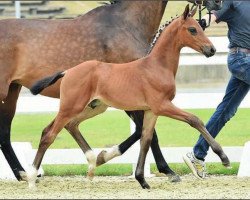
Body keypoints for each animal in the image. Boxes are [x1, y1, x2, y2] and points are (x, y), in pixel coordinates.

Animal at [29, 5, 230, 189]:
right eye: (192, 29)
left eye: (200, 26)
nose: (211, 50)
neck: (156, 66)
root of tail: (68, 71)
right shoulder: (162, 105)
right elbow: (194, 120)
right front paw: (224, 157)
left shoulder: (151, 111)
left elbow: (146, 140)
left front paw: (142, 180)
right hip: (71, 107)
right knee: (49, 134)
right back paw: (31, 178)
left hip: (92, 107)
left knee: (69, 126)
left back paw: (93, 162)